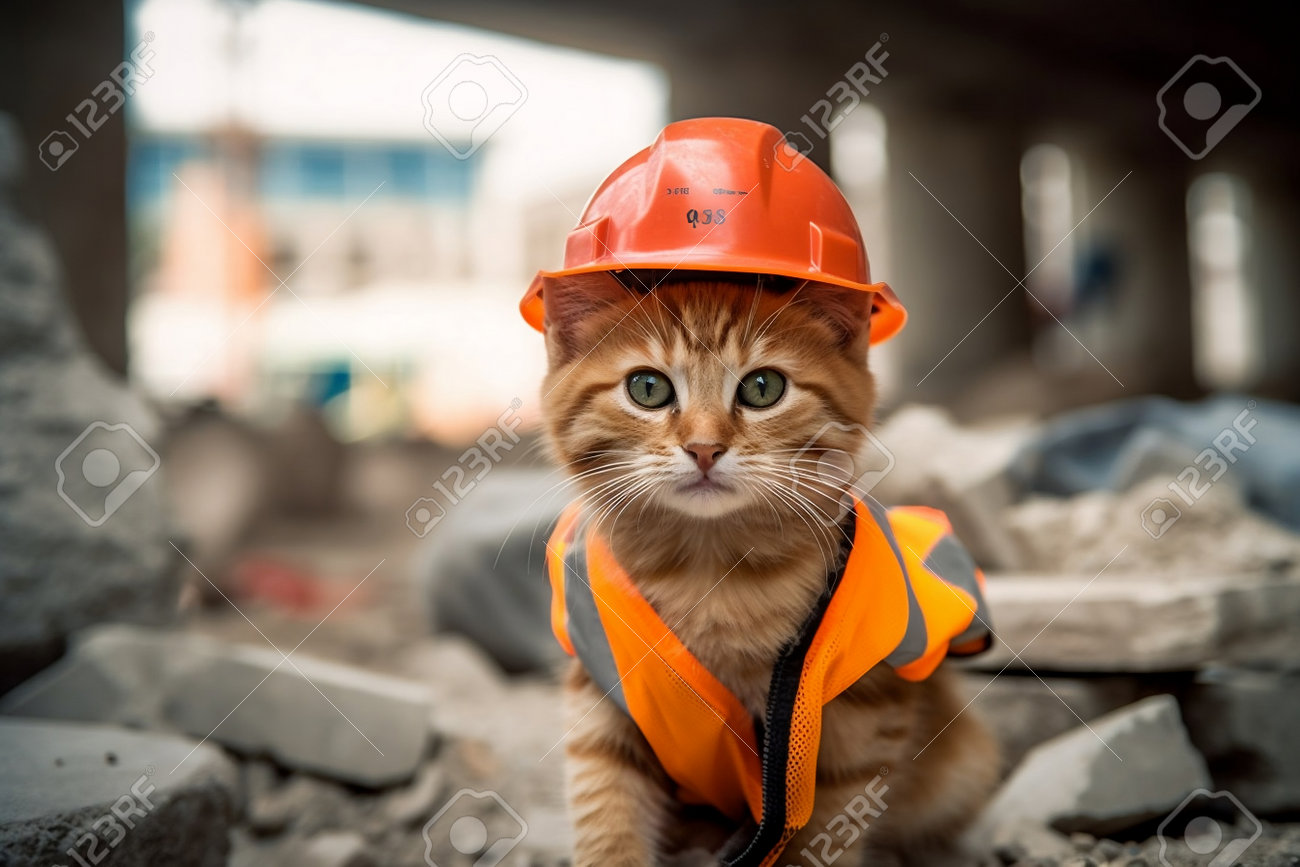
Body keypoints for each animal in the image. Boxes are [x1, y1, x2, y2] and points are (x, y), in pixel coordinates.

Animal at [535, 272, 993, 867]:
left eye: (762, 387)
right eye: (647, 388)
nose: (704, 448)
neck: (709, 574)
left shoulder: (862, 715)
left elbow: (823, 830)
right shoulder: (602, 694)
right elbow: (606, 813)